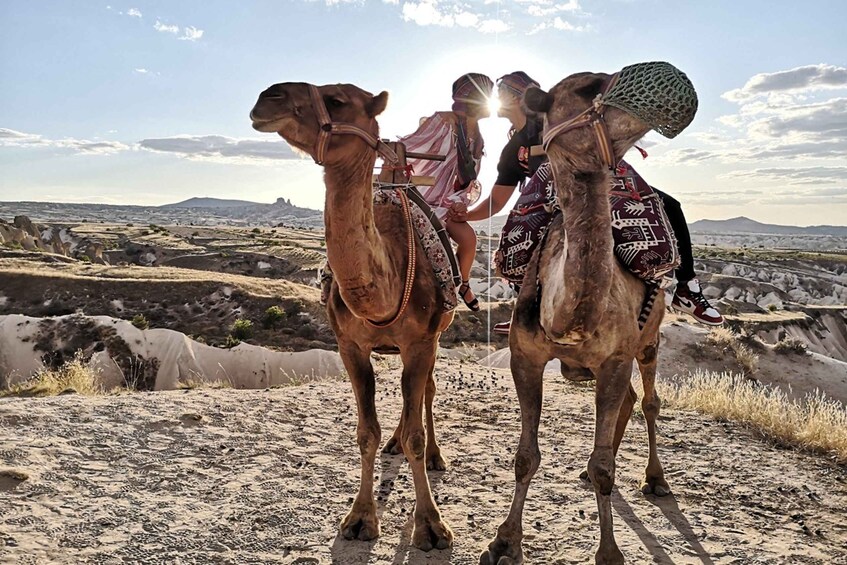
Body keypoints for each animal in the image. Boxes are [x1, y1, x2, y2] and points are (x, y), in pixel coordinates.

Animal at [250, 82, 458, 552]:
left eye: (338, 99)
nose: (266, 97)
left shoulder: (421, 342)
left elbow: (417, 431)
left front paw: (431, 526)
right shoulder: (350, 347)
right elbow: (366, 433)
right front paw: (360, 518)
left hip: (436, 336)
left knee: (426, 394)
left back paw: (435, 455)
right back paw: (395, 443)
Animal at [480, 68, 692, 560]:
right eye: (587, 87)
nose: (671, 86)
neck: (568, 318)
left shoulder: (614, 358)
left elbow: (603, 469)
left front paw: (610, 552)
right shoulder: (525, 357)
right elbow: (526, 457)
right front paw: (504, 540)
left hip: (649, 340)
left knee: (649, 401)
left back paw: (655, 478)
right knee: (630, 403)